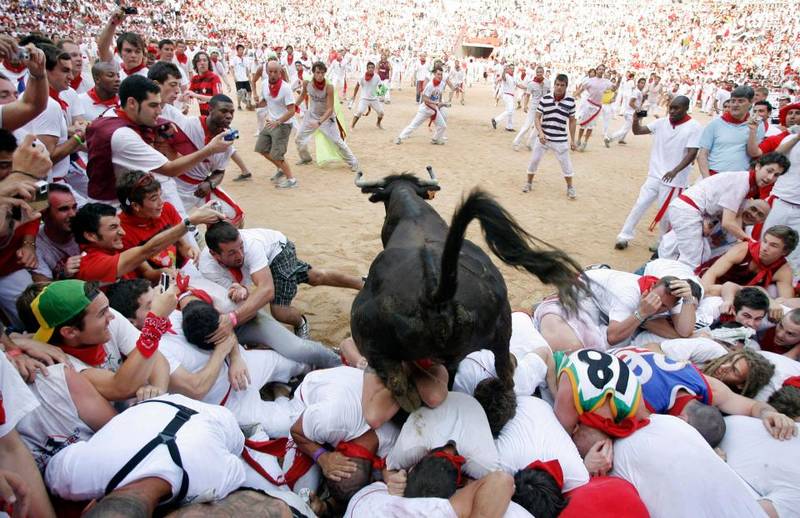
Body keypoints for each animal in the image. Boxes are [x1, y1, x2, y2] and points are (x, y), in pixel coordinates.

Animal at [346, 170, 584, 414]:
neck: (411, 211)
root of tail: (435, 294)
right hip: (502, 329)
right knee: (504, 372)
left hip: (367, 341)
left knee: (400, 386)